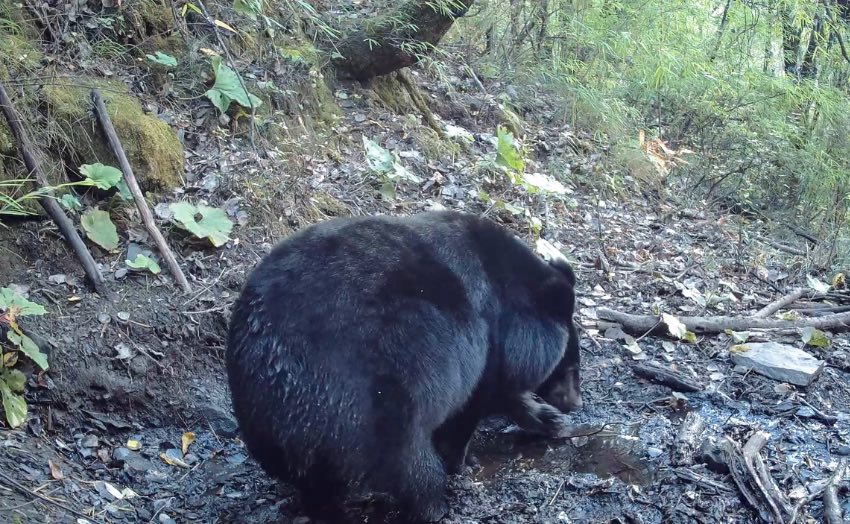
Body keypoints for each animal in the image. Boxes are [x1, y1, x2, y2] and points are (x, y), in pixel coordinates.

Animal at [225, 210, 582, 523]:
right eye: (569, 365)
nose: (575, 402)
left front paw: (550, 420)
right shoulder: (482, 342)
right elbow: (473, 405)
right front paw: (462, 462)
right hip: (377, 399)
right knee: (409, 461)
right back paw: (435, 504)